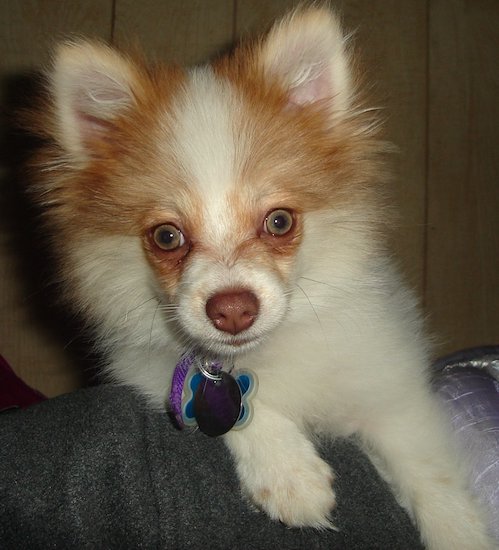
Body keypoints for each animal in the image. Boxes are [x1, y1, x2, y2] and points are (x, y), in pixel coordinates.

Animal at [29, 6, 494, 548]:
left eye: (279, 222)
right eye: (166, 236)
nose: (232, 310)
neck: (264, 354)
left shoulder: (390, 386)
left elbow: (427, 469)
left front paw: (460, 530)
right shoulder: (146, 364)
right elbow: (227, 407)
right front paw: (288, 474)